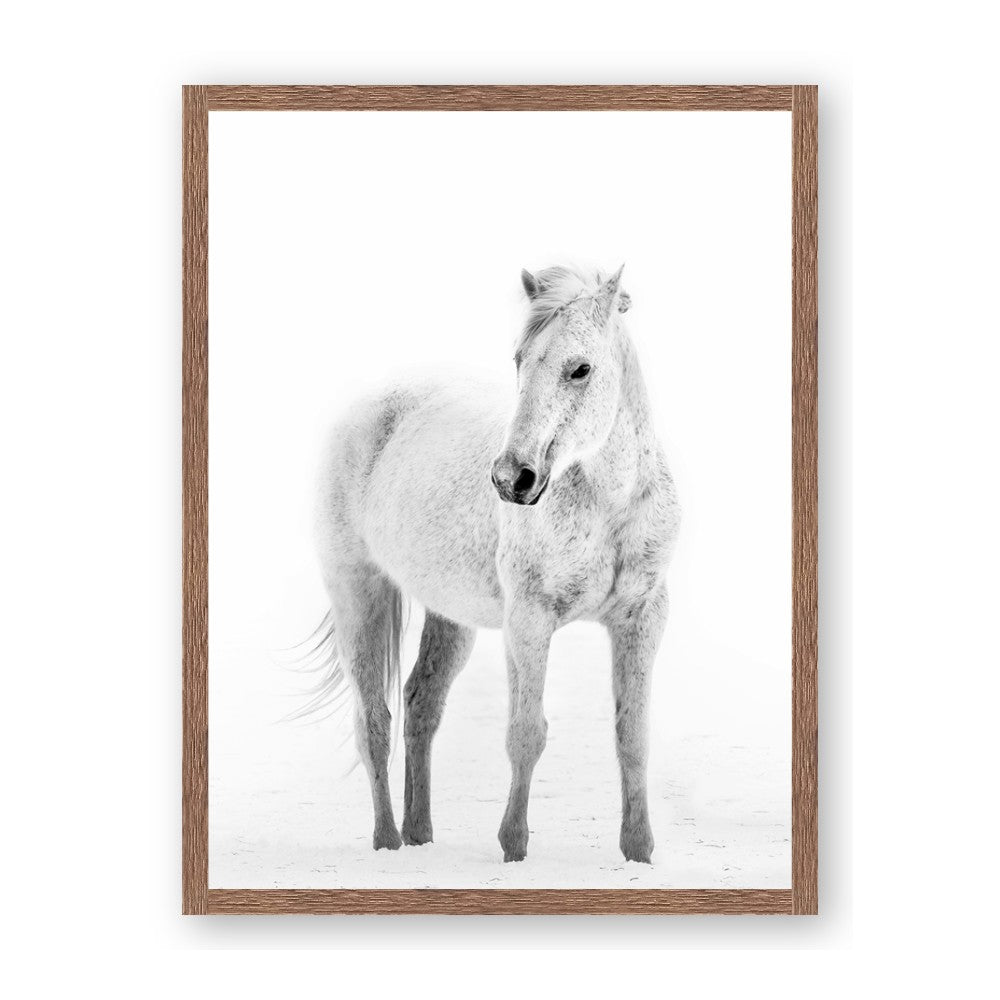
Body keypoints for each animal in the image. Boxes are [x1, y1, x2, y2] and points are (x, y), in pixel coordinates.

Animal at [312, 264, 681, 863]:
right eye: (519, 360)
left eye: (581, 369)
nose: (512, 479)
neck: (609, 504)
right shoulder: (529, 620)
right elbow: (526, 733)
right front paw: (513, 847)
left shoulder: (643, 617)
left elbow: (633, 736)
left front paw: (639, 852)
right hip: (357, 593)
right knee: (374, 721)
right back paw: (388, 842)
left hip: (449, 616)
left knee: (420, 705)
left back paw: (420, 834)